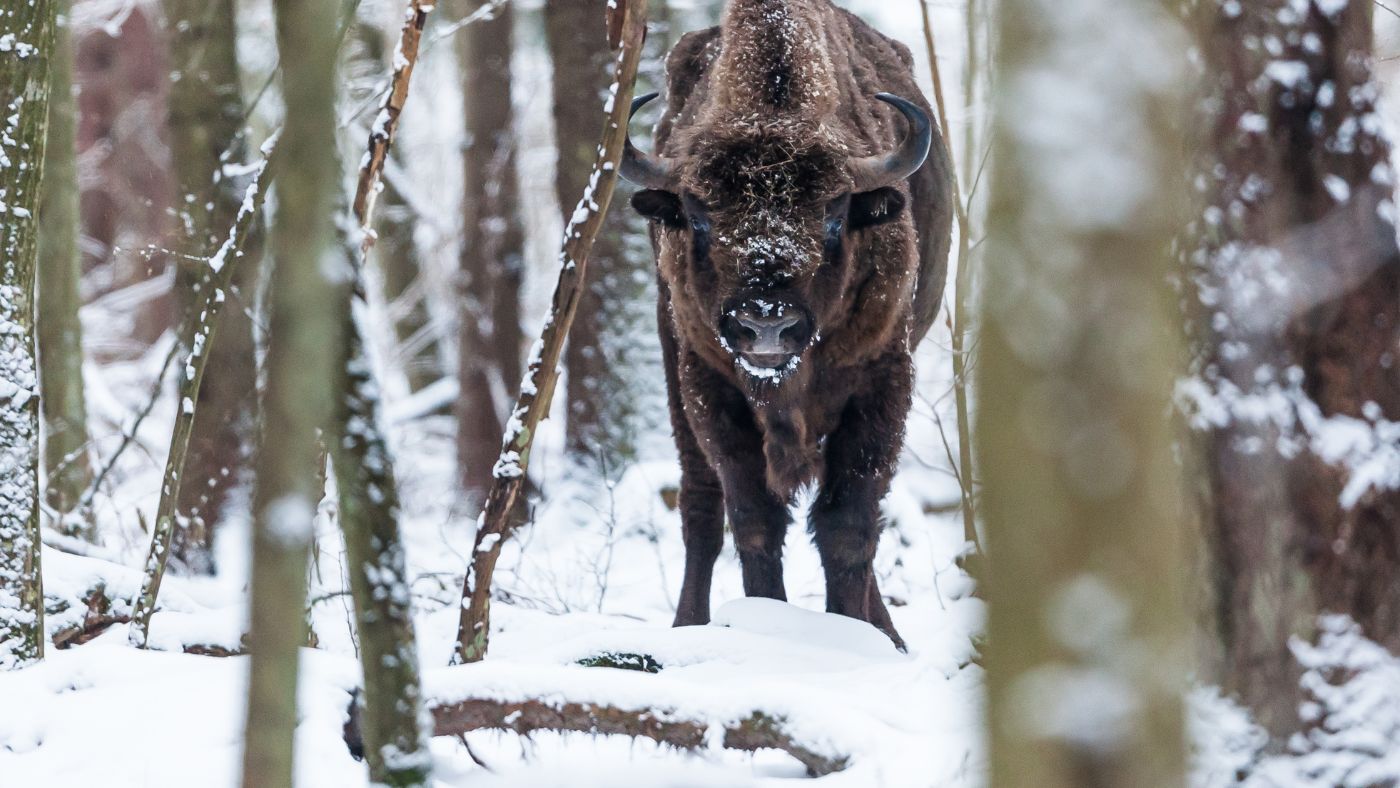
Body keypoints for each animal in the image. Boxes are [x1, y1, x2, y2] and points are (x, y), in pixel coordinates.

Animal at [621, 0, 952, 655]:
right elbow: (754, 520)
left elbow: (848, 525)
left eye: (833, 215)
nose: (766, 325)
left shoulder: (882, 382)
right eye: (697, 215)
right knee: (700, 504)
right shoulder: (710, 387)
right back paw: (687, 625)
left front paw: (859, 638)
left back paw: (888, 632)